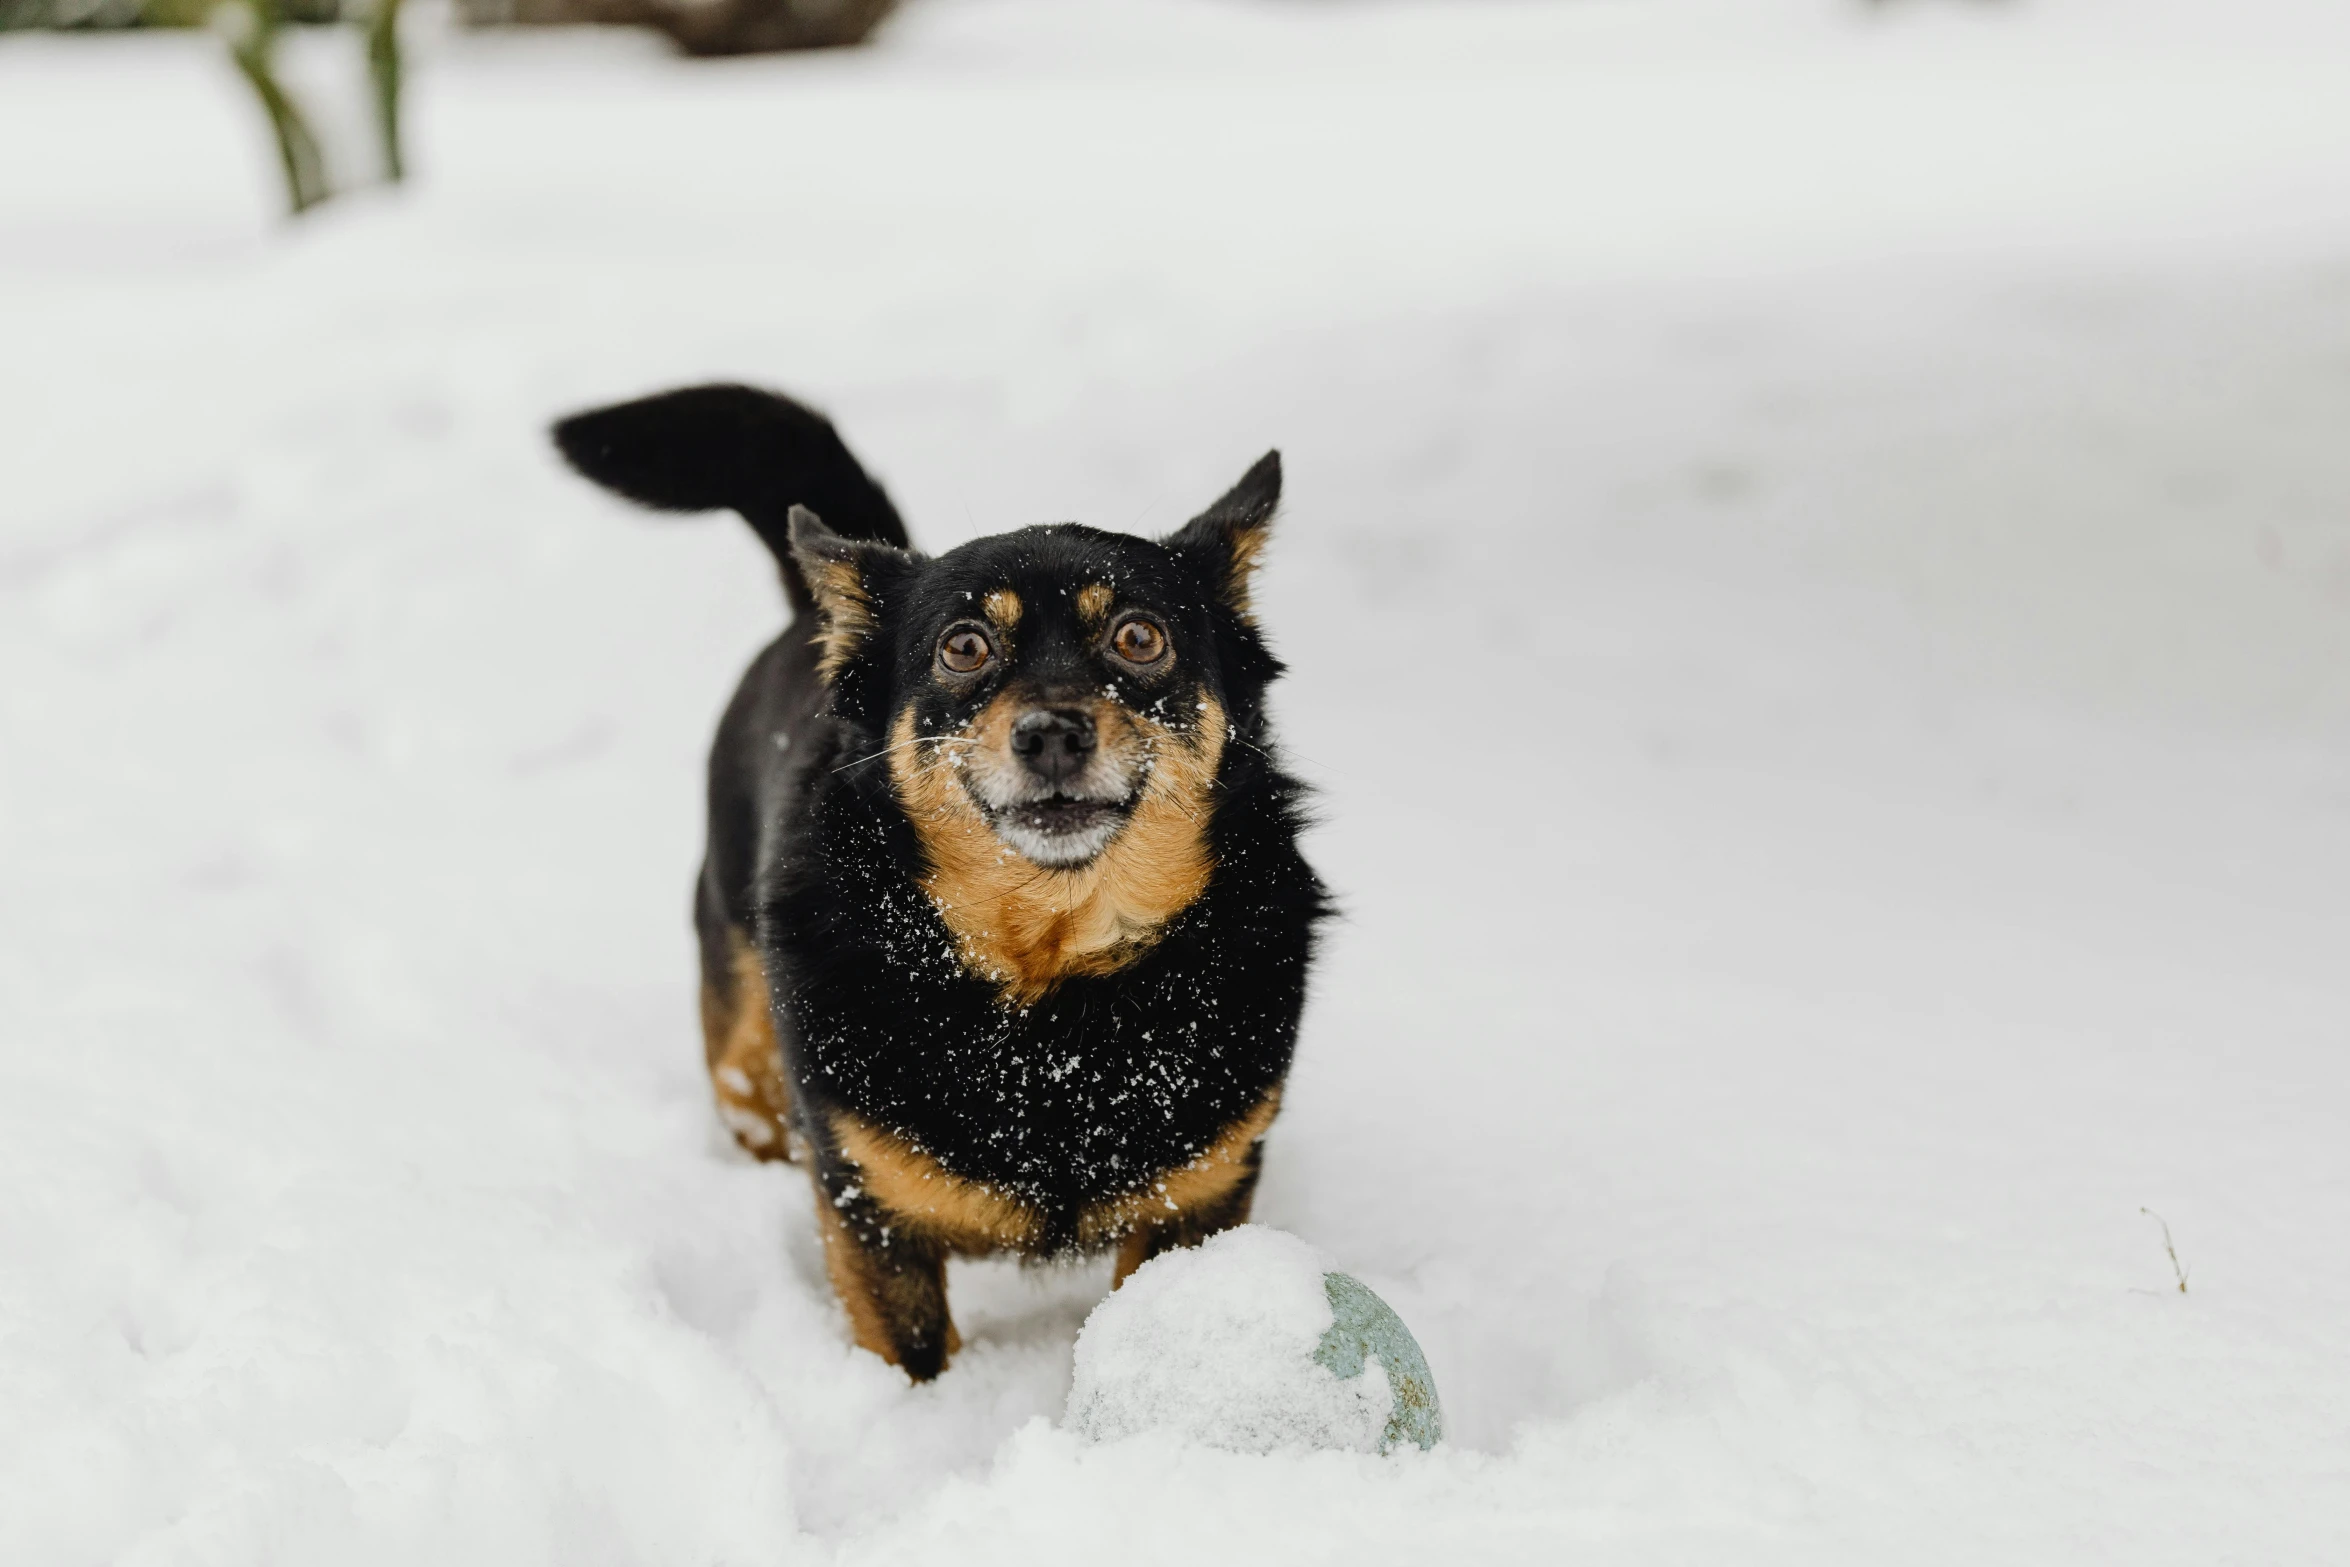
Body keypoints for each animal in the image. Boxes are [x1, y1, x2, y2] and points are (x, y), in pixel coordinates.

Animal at [547, 385, 1325, 1381]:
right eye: (964, 646)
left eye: (1139, 636)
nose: (1051, 731)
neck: (1049, 991)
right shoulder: (872, 1214)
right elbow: (911, 1353)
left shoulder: (1199, 1199)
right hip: (743, 1037)